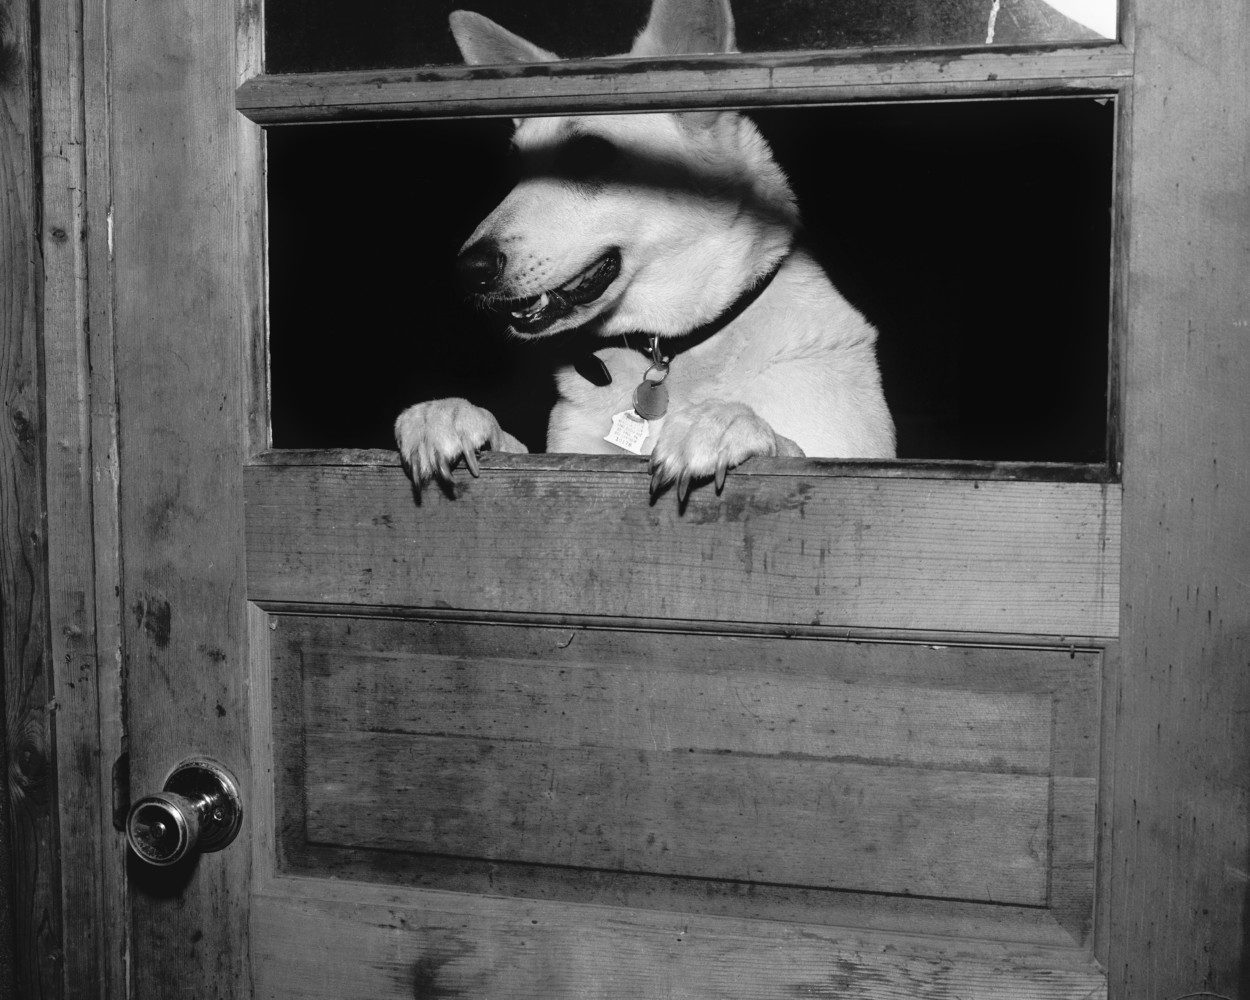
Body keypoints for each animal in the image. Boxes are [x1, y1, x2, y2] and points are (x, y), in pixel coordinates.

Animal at [395, 0, 896, 501]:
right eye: (519, 167)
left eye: (590, 155)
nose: (468, 270)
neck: (668, 352)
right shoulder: (565, 460)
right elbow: (516, 451)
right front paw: (454, 416)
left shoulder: (854, 462)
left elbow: (792, 447)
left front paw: (727, 423)